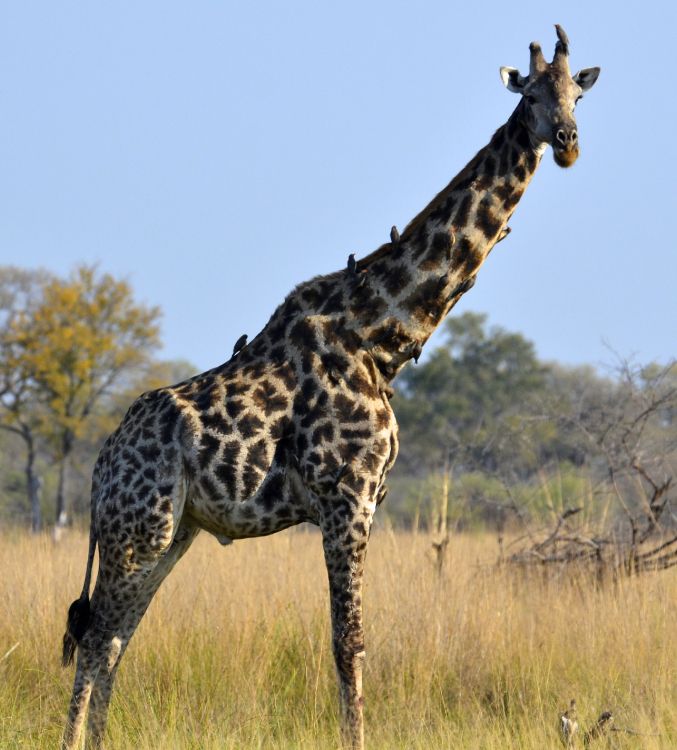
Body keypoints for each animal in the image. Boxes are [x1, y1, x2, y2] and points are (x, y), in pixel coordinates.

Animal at [59, 26, 596, 750]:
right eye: (532, 94)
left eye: (577, 94)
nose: (566, 141)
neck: (381, 332)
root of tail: (100, 466)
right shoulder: (348, 498)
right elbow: (349, 644)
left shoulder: (361, 501)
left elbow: (350, 643)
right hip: (138, 526)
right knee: (95, 636)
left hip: (173, 530)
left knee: (115, 636)